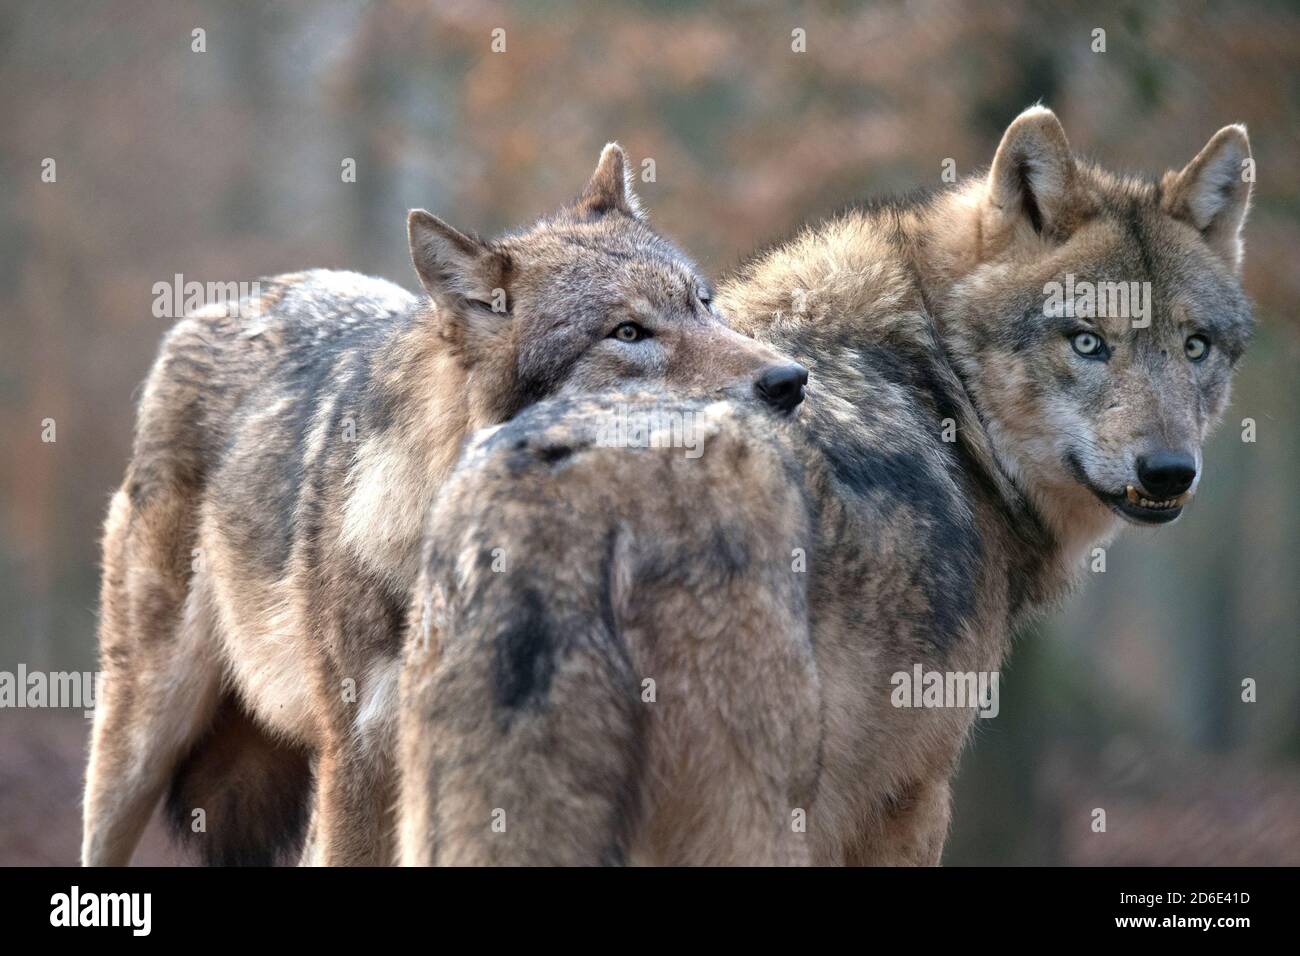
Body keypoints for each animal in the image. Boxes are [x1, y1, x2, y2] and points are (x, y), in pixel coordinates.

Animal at [81, 143, 800, 868]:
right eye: (627, 332)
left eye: (704, 304)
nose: (791, 381)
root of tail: (232, 302)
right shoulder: (363, 755)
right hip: (140, 742)